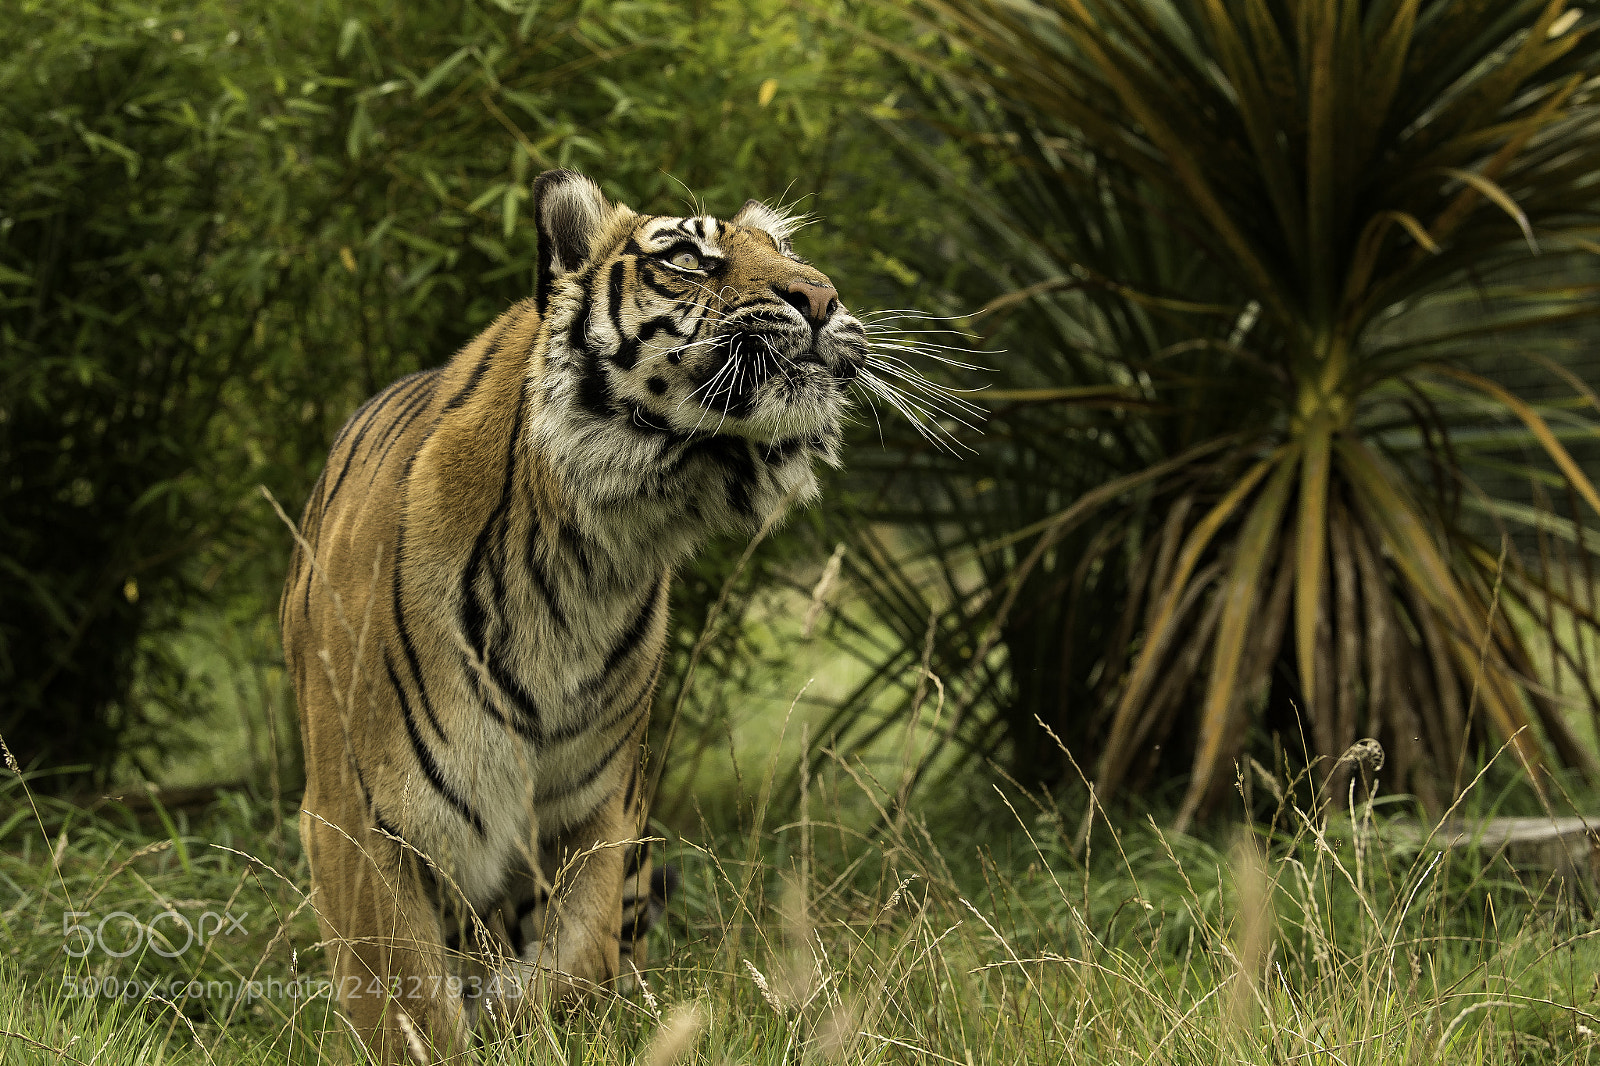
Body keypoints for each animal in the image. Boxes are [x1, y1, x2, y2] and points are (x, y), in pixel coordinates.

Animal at [279, 168, 864, 1063]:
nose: (823, 299)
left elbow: (579, 965)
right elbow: (408, 1011)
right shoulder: (361, 825)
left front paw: (525, 1020)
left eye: (785, 252)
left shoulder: (597, 811)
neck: (594, 549)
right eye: (687, 256)